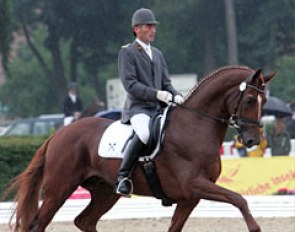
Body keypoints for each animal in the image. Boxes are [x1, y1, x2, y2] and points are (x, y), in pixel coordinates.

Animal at [6, 65, 276, 232]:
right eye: (249, 100)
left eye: (265, 101)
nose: (252, 140)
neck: (195, 126)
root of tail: (57, 135)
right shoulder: (194, 185)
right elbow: (239, 199)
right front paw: (255, 227)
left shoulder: (189, 198)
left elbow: (175, 227)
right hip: (59, 189)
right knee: (38, 224)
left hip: (105, 192)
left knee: (85, 221)